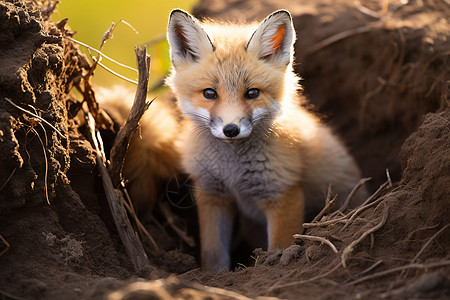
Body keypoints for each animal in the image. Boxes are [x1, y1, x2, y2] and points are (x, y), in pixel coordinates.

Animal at [167, 9, 368, 272]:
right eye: (209, 93)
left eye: (252, 93)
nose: (231, 130)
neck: (233, 170)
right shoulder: (212, 194)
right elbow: (213, 253)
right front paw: (215, 276)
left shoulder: (283, 193)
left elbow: (280, 246)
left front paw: (276, 262)